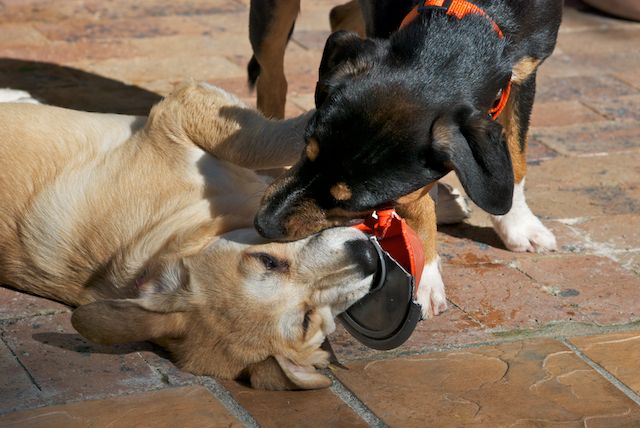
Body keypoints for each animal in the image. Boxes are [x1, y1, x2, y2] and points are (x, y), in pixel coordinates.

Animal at [250, 0, 563, 318]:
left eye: (349, 203)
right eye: (307, 150)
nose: (263, 224)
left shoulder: (525, 71)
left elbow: (516, 156)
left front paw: (518, 225)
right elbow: (418, 204)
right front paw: (426, 275)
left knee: (337, 14)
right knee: (272, 78)